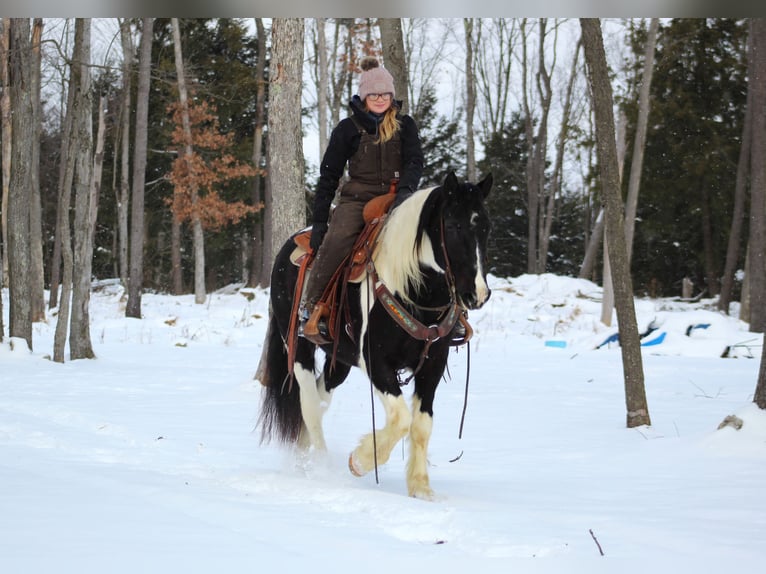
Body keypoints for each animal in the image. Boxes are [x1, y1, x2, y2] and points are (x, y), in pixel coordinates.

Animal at [258, 170, 496, 500]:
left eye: (485, 226)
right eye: (453, 225)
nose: (477, 294)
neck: (410, 288)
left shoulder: (433, 365)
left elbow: (421, 426)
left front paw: (421, 488)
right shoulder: (377, 362)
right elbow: (401, 419)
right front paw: (360, 461)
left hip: (339, 361)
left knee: (320, 397)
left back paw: (302, 456)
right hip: (298, 346)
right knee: (309, 404)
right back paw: (320, 467)